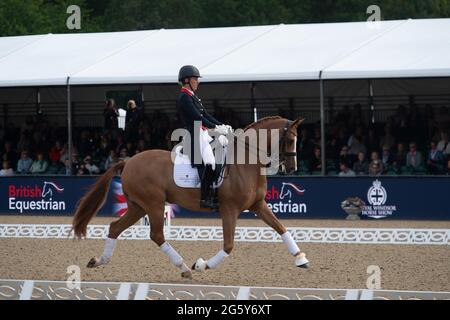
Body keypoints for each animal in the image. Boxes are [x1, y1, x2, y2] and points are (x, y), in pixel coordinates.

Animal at [72, 116, 310, 278]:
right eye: (290, 140)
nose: (292, 168)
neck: (246, 162)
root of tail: (129, 160)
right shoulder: (229, 210)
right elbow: (228, 246)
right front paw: (202, 265)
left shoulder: (258, 205)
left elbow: (281, 228)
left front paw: (301, 259)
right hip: (153, 204)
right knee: (157, 235)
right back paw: (185, 268)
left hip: (137, 207)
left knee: (115, 227)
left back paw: (98, 260)